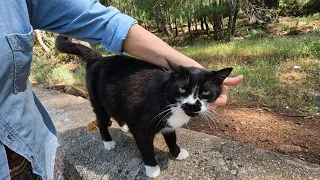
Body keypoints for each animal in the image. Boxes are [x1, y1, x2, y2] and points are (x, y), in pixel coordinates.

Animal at [55, 34, 232, 177]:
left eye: (205, 93)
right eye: (182, 89)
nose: (192, 105)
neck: (168, 100)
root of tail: (98, 58)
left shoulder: (168, 123)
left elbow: (171, 137)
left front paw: (176, 152)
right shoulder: (142, 127)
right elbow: (146, 147)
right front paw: (152, 169)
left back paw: (125, 126)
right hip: (98, 101)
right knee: (102, 120)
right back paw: (108, 142)